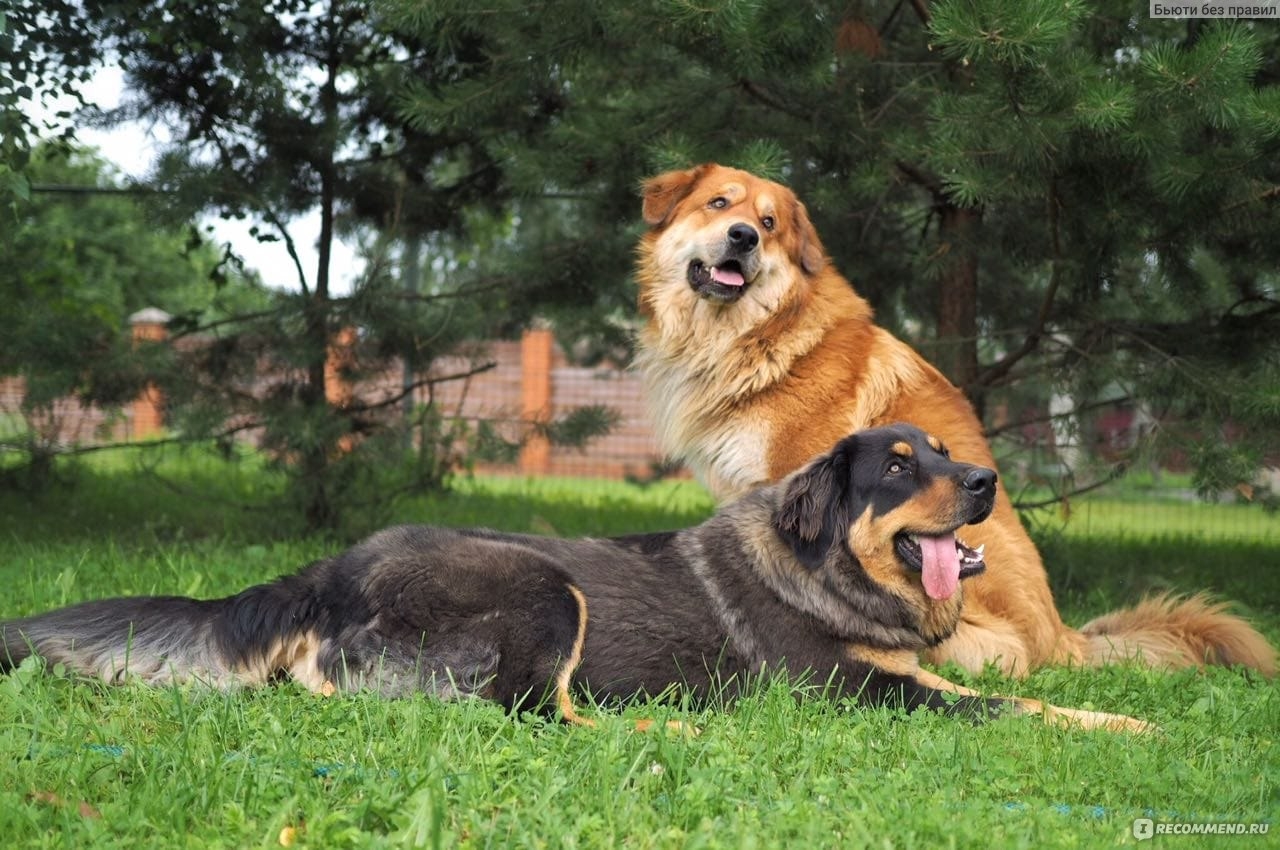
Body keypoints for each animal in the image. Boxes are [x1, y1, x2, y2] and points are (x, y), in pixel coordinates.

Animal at [2, 427, 1152, 732]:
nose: (989, 481)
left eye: (947, 453)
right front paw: (1134, 727)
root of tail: (332, 568)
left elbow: (1012, 678)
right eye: (901, 466)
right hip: (547, 589)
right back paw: (668, 730)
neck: (822, 564)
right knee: (529, 711)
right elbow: (1003, 704)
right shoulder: (848, 687)